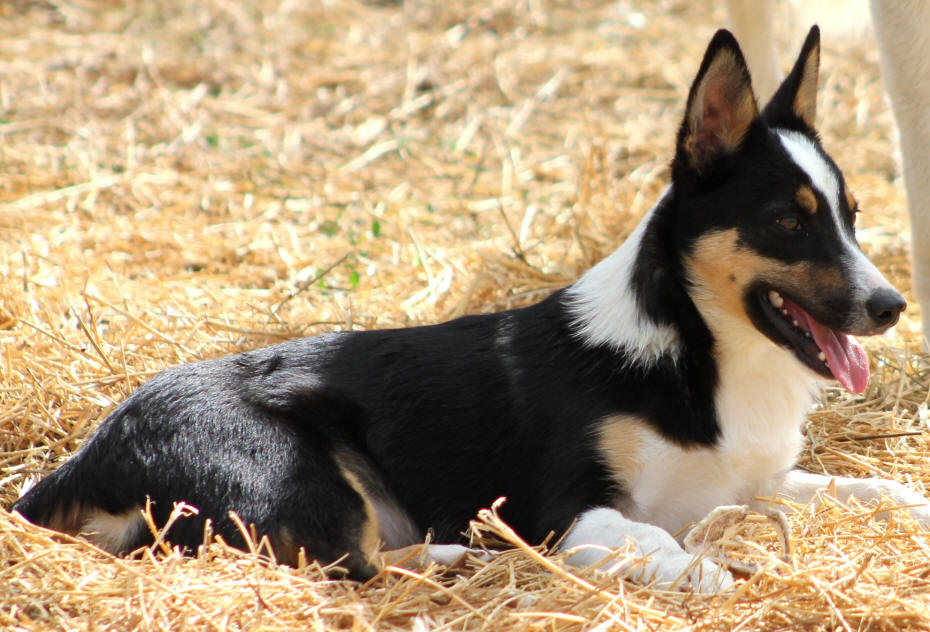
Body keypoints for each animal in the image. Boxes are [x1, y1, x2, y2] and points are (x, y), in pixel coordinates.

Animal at [12, 27, 928, 592]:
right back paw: (459, 555)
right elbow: (658, 541)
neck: (694, 347)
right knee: (350, 564)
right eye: (789, 223)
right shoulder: (564, 511)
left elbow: (871, 488)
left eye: (851, 216)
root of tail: (84, 458)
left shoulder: (759, 481)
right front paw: (705, 573)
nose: (890, 306)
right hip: (297, 474)